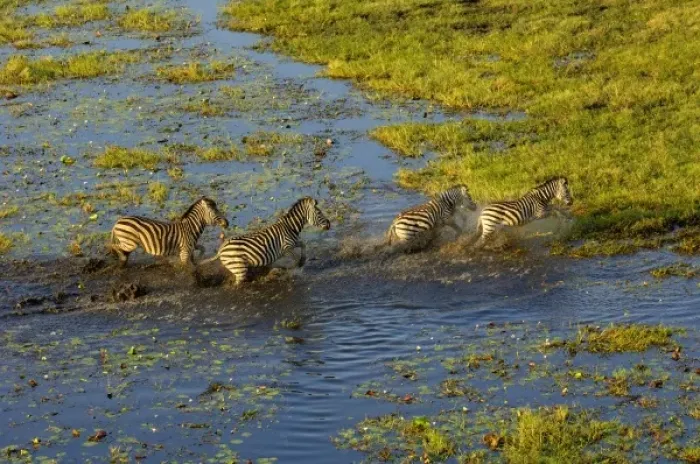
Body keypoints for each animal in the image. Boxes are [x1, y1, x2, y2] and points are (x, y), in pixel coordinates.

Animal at [199, 197, 331, 285]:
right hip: (239, 268)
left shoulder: (293, 243)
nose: (329, 225)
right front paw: (294, 267)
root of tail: (221, 248)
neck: (289, 227)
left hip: (237, 268)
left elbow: (303, 245)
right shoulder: (286, 247)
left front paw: (302, 261)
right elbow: (295, 257)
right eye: (319, 212)